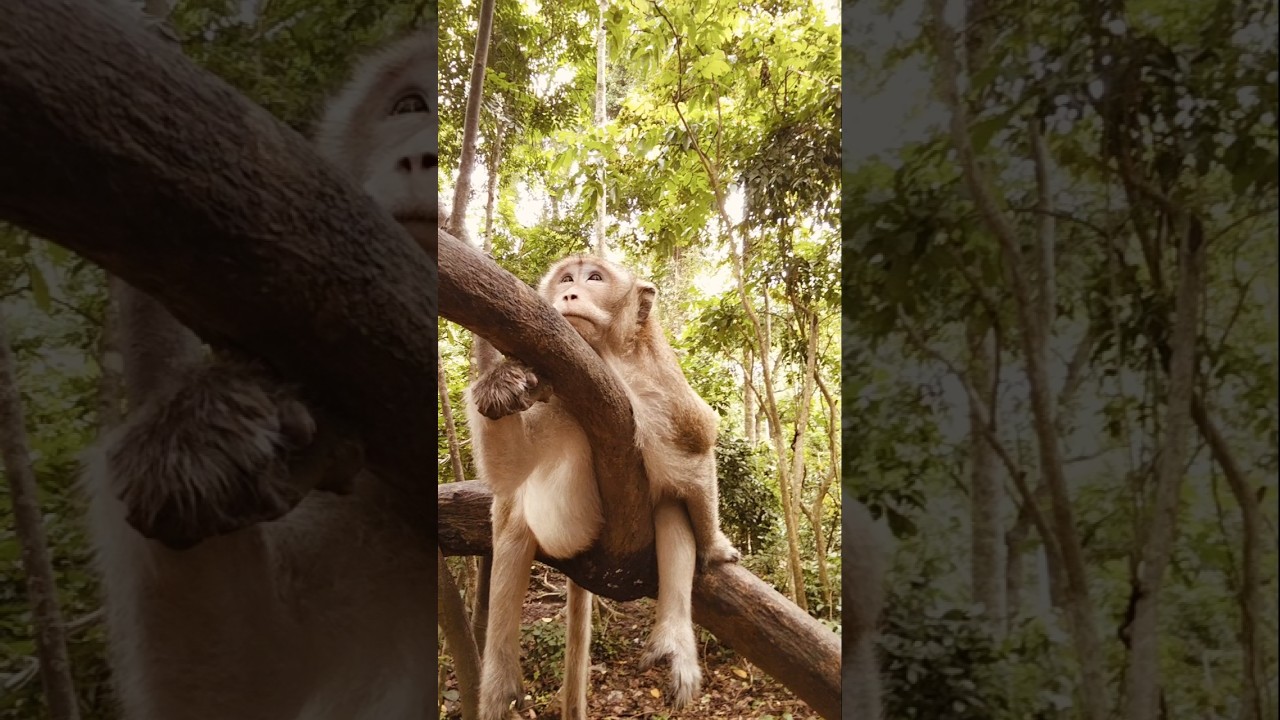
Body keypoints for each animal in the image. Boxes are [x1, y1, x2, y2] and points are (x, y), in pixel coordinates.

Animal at [466, 254, 741, 719]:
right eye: (565, 279)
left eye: (594, 278)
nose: (569, 293)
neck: (605, 358)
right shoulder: (555, 391)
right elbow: (511, 472)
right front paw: (500, 378)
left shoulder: (660, 386)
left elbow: (696, 448)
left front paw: (715, 546)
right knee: (513, 514)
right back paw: (500, 674)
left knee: (670, 506)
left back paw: (674, 637)